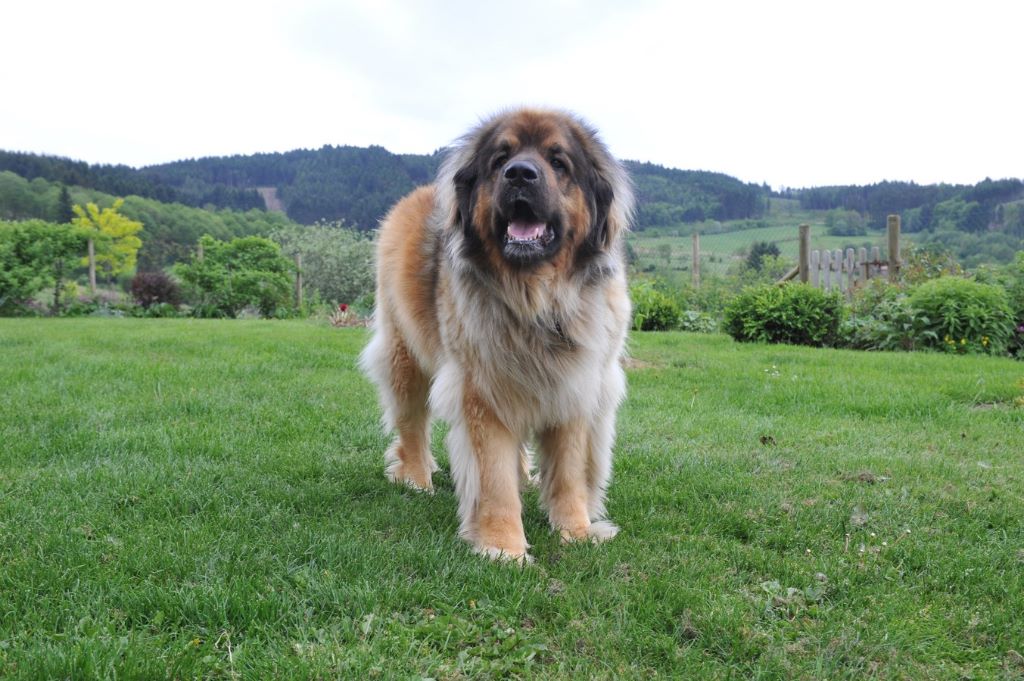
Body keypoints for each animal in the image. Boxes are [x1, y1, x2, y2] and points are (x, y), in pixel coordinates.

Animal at [360, 107, 630, 561]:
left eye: (558, 162)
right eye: (500, 159)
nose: (519, 174)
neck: (538, 300)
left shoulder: (574, 385)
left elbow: (570, 471)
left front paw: (575, 532)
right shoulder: (481, 390)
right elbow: (493, 478)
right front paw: (503, 548)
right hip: (404, 353)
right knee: (411, 421)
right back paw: (415, 477)